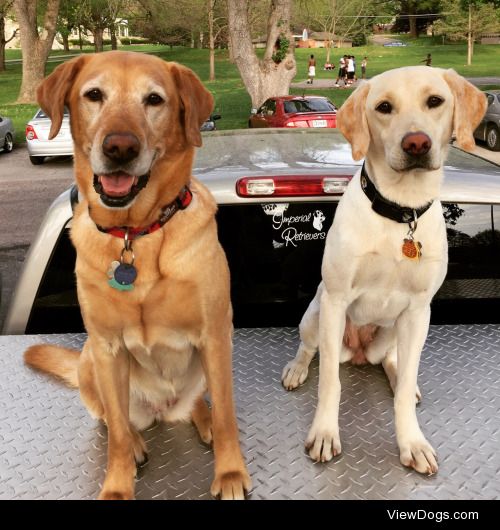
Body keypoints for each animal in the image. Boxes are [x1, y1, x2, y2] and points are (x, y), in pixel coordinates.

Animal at [24, 50, 250, 500]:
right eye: (94, 94)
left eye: (154, 100)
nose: (120, 147)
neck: (136, 234)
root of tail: (163, 409)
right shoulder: (108, 347)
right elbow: (115, 435)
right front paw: (117, 485)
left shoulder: (215, 334)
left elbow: (227, 414)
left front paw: (231, 473)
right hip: (91, 361)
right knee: (115, 422)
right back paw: (136, 442)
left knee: (202, 403)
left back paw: (201, 419)